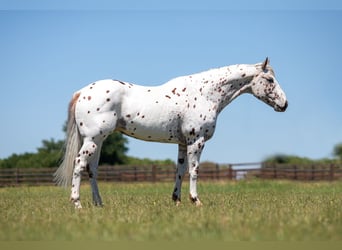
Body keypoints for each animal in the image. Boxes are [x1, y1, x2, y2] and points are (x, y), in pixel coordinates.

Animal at [54, 57, 288, 208]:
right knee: (79, 164)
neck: (205, 94)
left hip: (98, 140)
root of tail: (82, 92)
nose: (284, 104)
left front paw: (177, 200)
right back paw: (77, 203)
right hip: (93, 139)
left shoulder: (183, 143)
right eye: (269, 80)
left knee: (92, 169)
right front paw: (196, 201)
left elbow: (180, 171)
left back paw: (99, 204)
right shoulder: (196, 141)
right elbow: (194, 171)